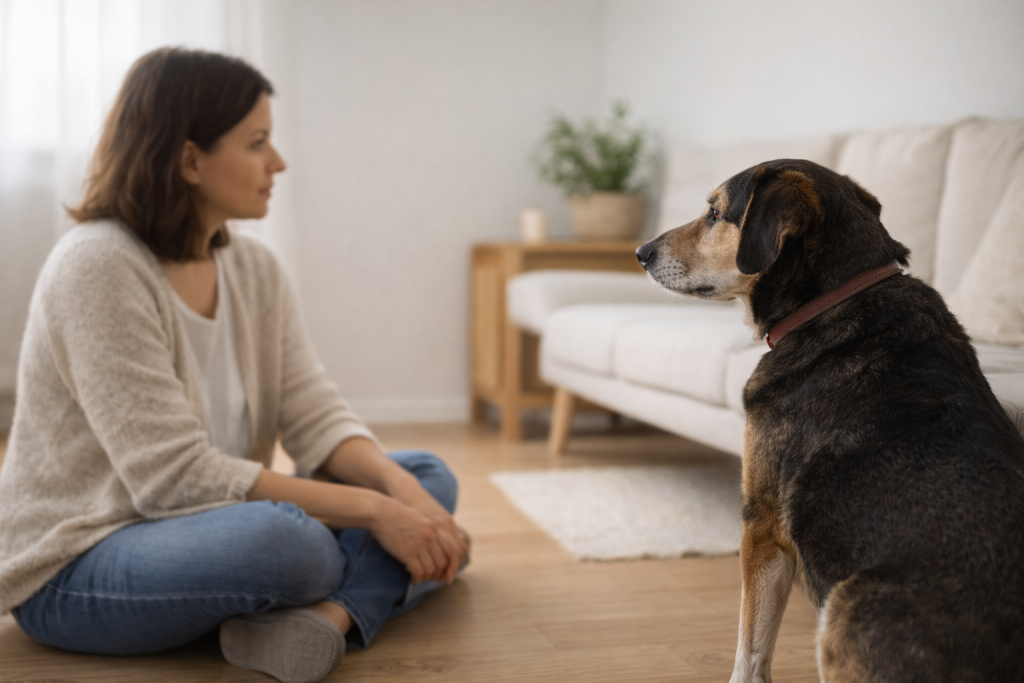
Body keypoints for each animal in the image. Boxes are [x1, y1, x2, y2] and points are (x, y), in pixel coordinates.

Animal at [636, 159, 1024, 682]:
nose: (640, 252)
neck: (834, 299)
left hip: (846, 606)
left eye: (715, 213)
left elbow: (750, 652)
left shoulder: (763, 526)